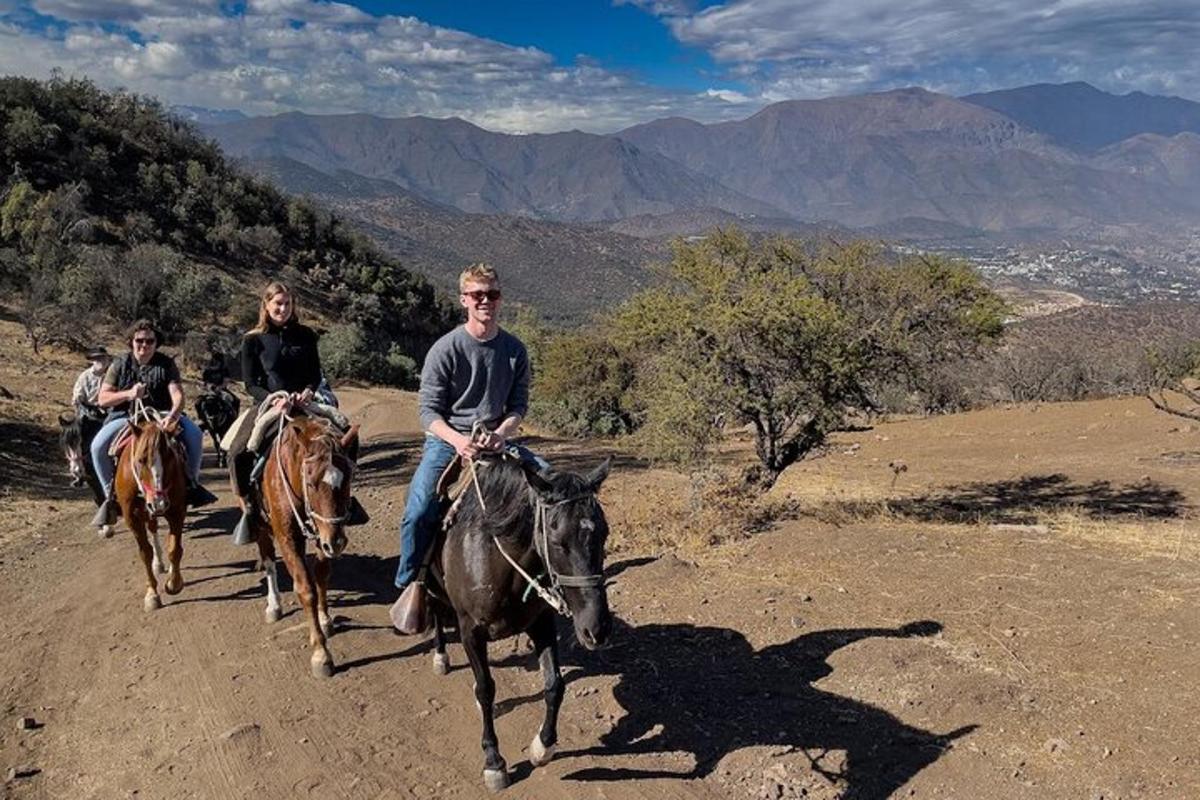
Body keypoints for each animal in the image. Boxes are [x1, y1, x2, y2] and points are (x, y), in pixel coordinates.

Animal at [112, 419, 187, 614]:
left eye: (170, 457)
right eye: (140, 460)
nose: (158, 502)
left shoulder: (177, 511)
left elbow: (174, 549)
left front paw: (174, 583)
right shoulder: (132, 518)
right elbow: (145, 553)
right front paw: (152, 594)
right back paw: (157, 564)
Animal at [250, 410, 357, 681]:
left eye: (348, 480)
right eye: (311, 483)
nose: (337, 542)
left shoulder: (323, 535)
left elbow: (321, 575)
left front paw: (325, 618)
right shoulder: (287, 537)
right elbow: (306, 589)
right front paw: (321, 653)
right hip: (261, 524)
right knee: (268, 560)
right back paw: (274, 605)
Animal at [427, 453, 614, 791]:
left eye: (604, 533)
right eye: (557, 541)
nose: (597, 630)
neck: (498, 559)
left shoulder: (541, 623)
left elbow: (554, 684)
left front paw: (543, 746)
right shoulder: (470, 630)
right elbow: (486, 688)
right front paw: (493, 762)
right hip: (433, 586)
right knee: (435, 612)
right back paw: (440, 656)